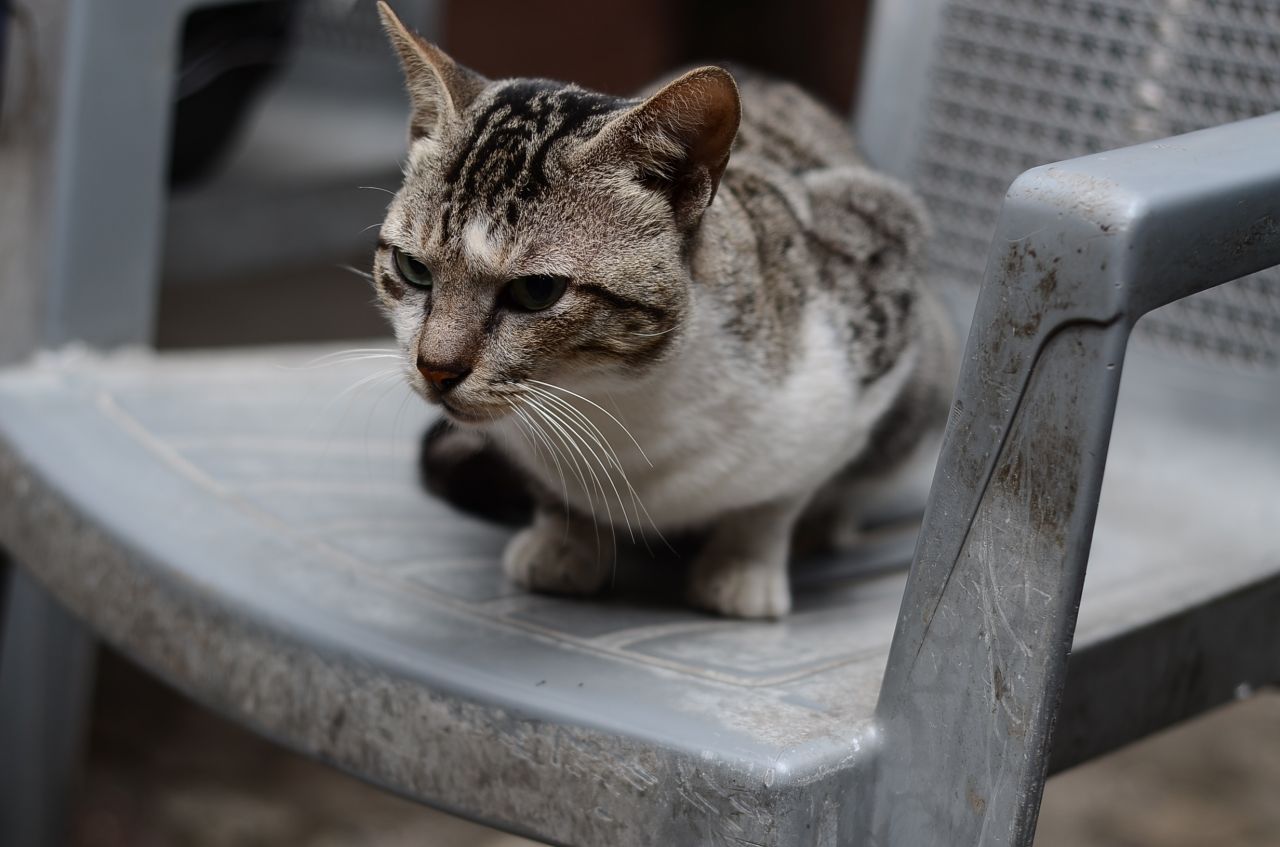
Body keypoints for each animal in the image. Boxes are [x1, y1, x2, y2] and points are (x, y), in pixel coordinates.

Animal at [371, 3, 952, 621]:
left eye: (536, 292)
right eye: (413, 268)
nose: (436, 368)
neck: (613, 399)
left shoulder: (877, 285)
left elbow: (777, 500)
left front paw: (743, 566)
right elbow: (556, 494)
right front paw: (565, 541)